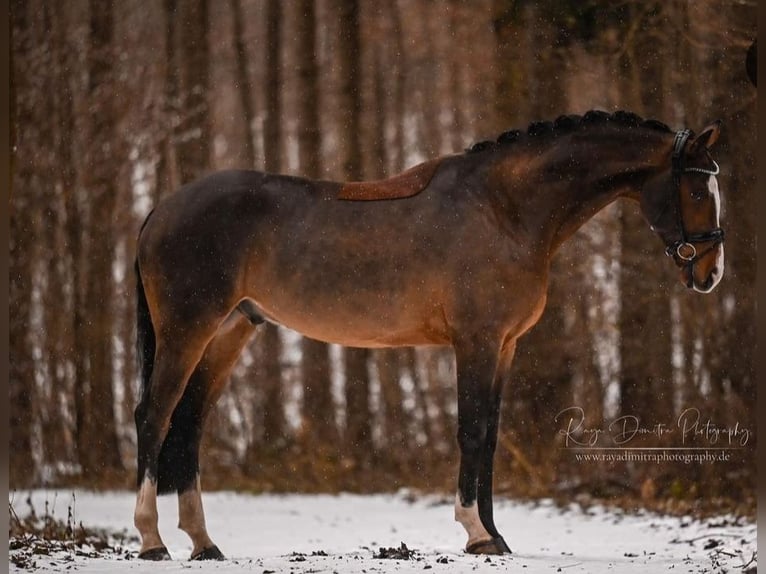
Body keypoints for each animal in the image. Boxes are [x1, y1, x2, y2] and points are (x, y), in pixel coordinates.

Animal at [135, 110, 728, 560]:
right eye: (698, 188)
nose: (711, 273)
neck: (505, 209)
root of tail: (161, 208)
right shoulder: (477, 342)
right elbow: (471, 430)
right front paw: (477, 532)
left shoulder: (505, 346)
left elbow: (490, 437)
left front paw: (495, 537)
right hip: (188, 329)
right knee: (154, 415)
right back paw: (152, 541)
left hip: (229, 331)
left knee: (189, 424)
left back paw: (204, 544)